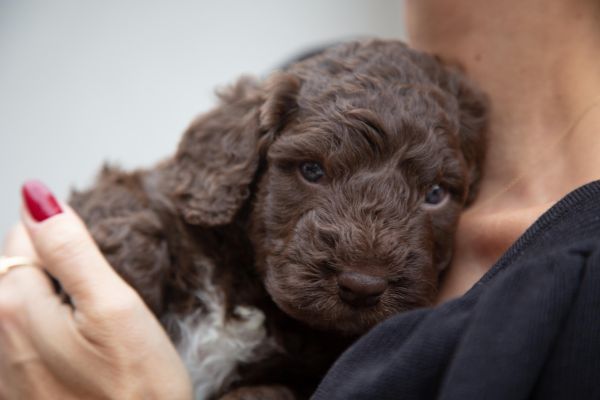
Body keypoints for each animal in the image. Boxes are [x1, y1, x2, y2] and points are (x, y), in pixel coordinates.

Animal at [69, 39, 488, 400]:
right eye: (311, 170)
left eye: (435, 194)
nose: (362, 285)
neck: (250, 290)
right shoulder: (174, 190)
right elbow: (122, 202)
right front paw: (130, 274)